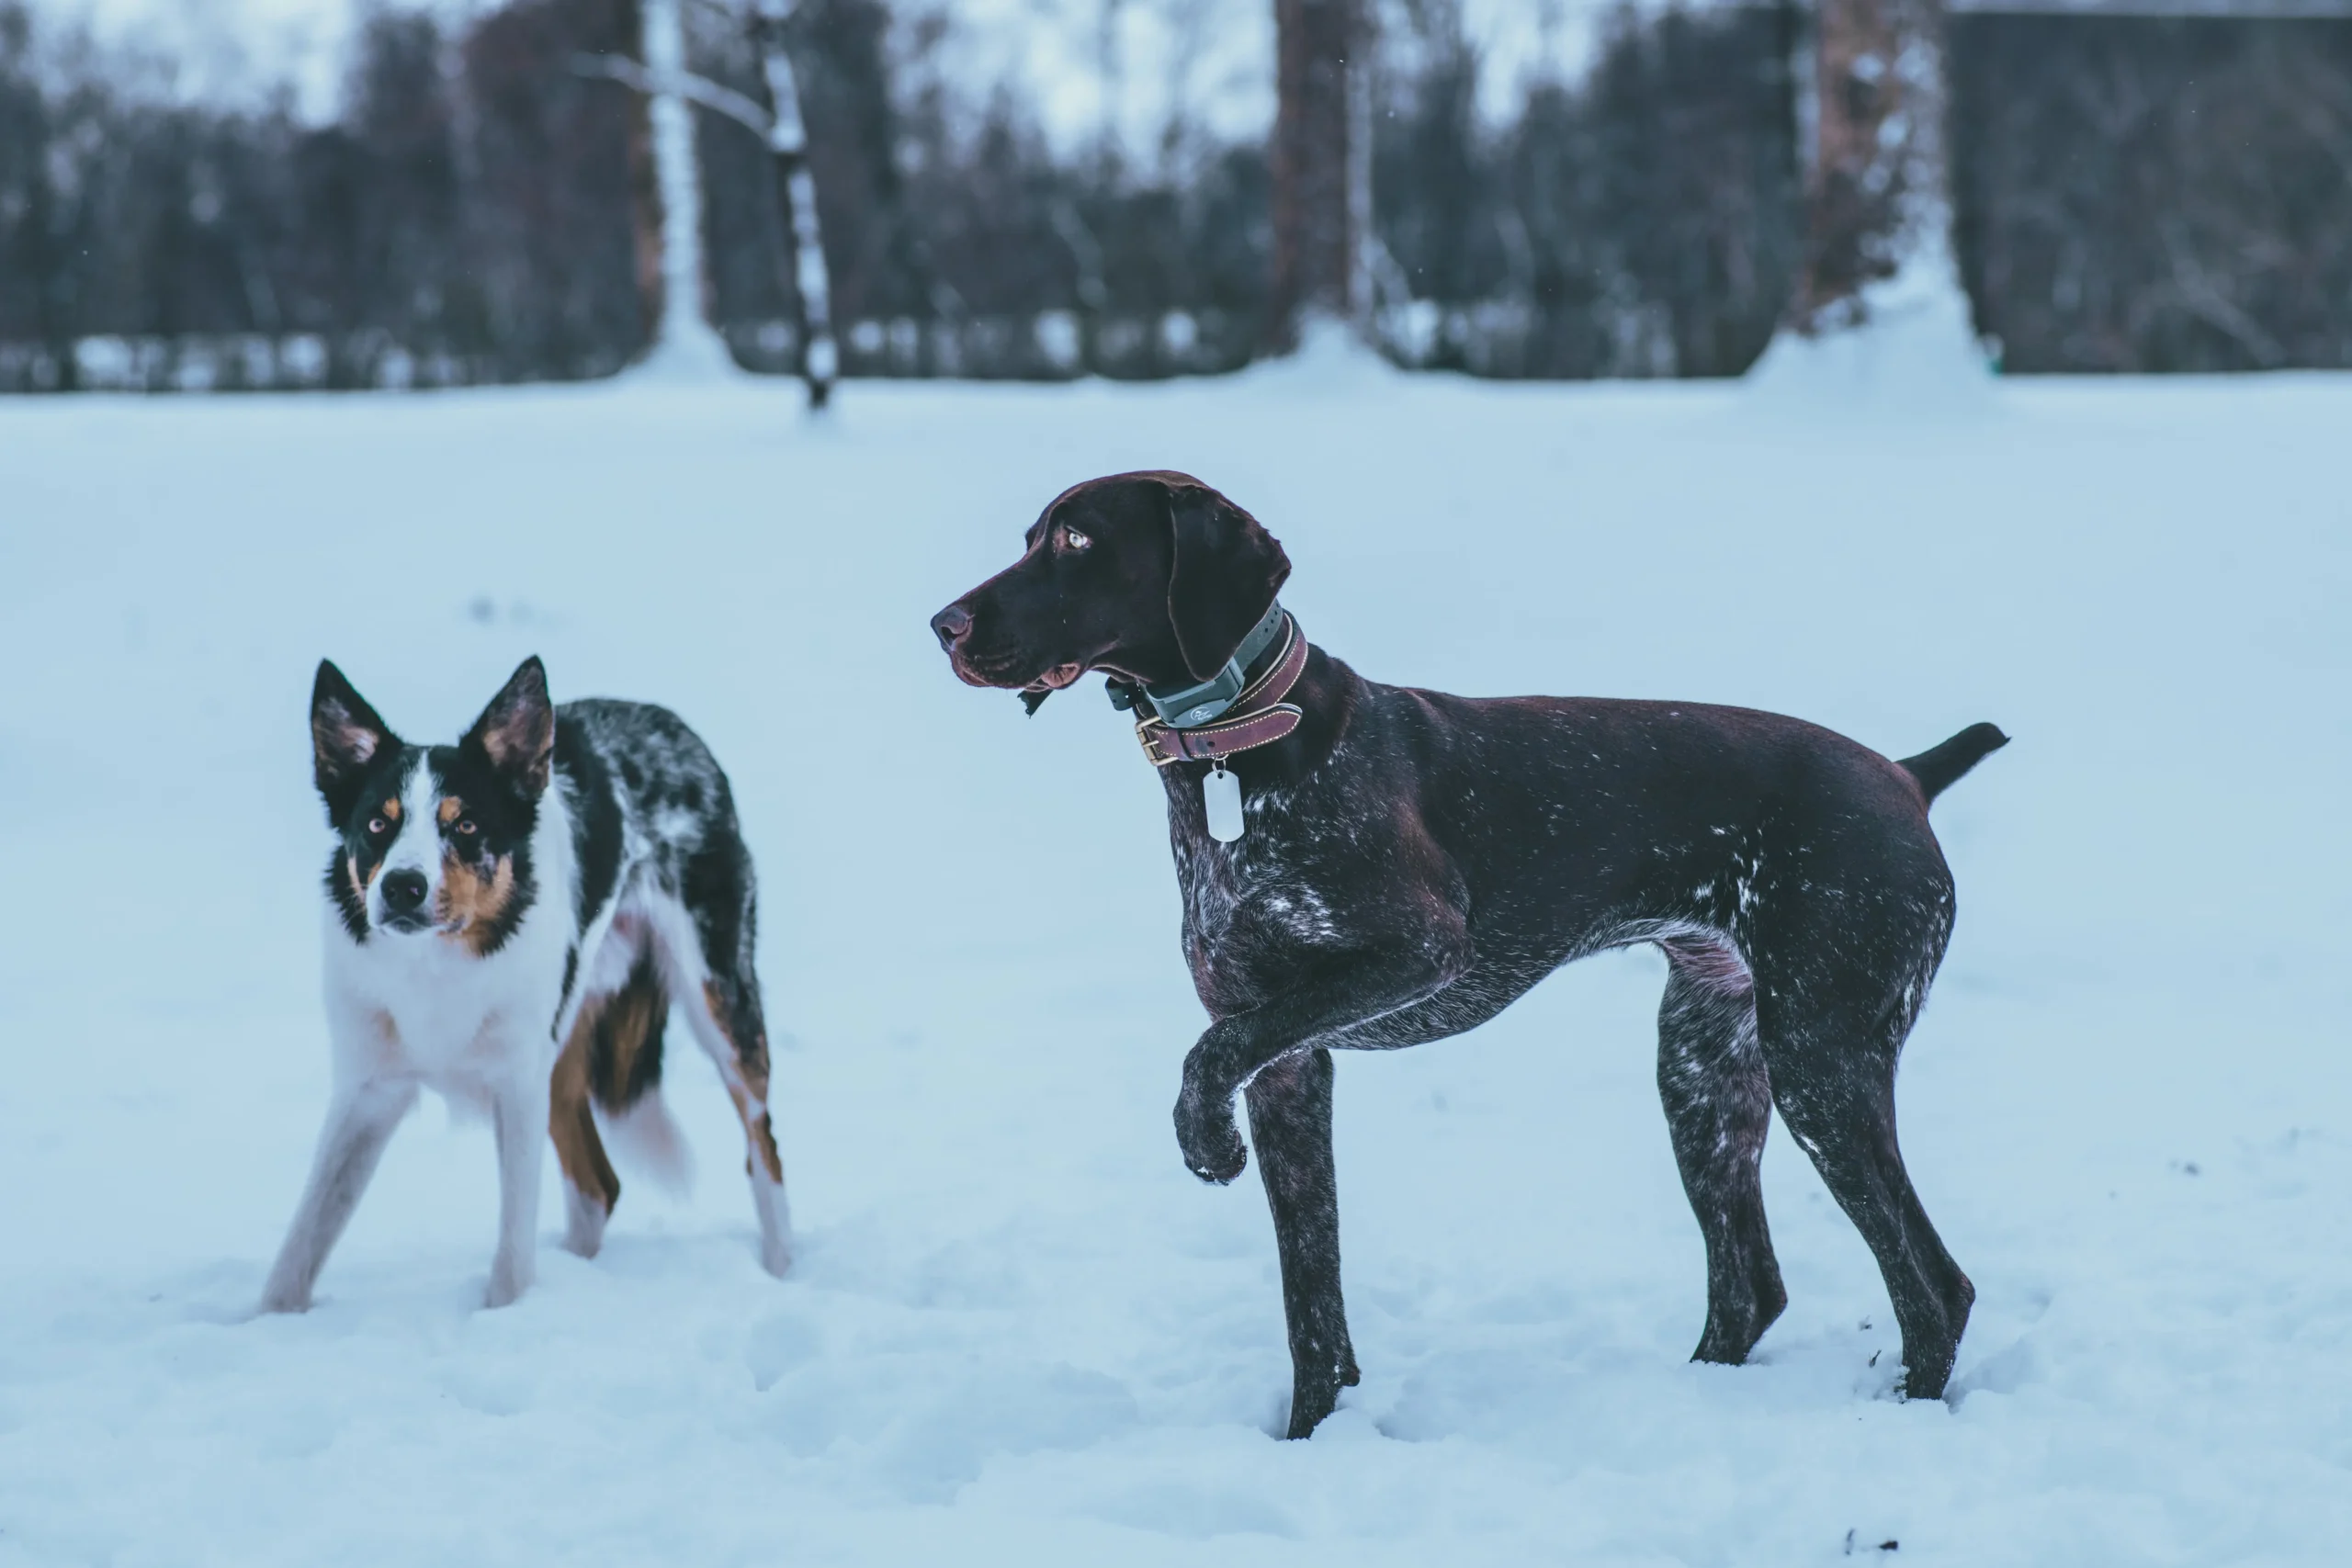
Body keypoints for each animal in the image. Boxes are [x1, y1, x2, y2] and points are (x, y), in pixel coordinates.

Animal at [262, 658, 786, 1316]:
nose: (402, 887)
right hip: (562, 1048)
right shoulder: (368, 1090)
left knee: (762, 1148)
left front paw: (505, 1314)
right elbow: (301, 1243)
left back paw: (782, 1269)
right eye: (378, 823)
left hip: (718, 998)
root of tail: (667, 721)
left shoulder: (515, 1083)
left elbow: (512, 1251)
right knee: (598, 1187)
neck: (438, 967)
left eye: (464, 824)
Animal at [931, 472, 2004, 1438]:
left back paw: (1904, 1419)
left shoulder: (1412, 953)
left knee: (1932, 1284)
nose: (943, 623)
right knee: (1751, 1288)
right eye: (1033, 536)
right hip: (1703, 1071)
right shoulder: (1289, 1069)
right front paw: (1311, 1437)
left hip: (1819, 1062)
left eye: (1076, 540)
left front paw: (1203, 1139)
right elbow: (1311, 1302)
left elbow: (1207, 1059)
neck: (1241, 746)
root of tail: (1903, 777)